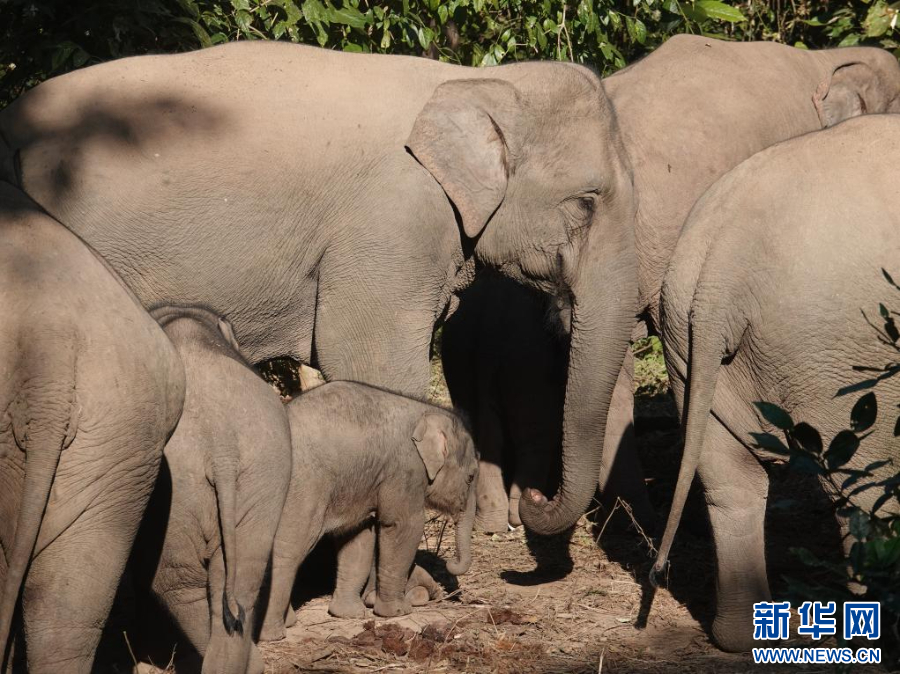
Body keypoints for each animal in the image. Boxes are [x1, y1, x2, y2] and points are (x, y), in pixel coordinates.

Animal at [260, 381, 477, 641]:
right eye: (471, 476)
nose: (450, 563)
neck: (426, 411)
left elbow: (358, 538)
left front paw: (349, 614)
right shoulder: (404, 469)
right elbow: (403, 526)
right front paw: (397, 612)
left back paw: (287, 623)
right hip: (303, 487)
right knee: (288, 550)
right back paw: (272, 633)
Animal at [652, 114, 900, 653]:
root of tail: (722, 262)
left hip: (685, 341)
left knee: (728, 480)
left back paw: (740, 637)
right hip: (839, 350)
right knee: (862, 487)